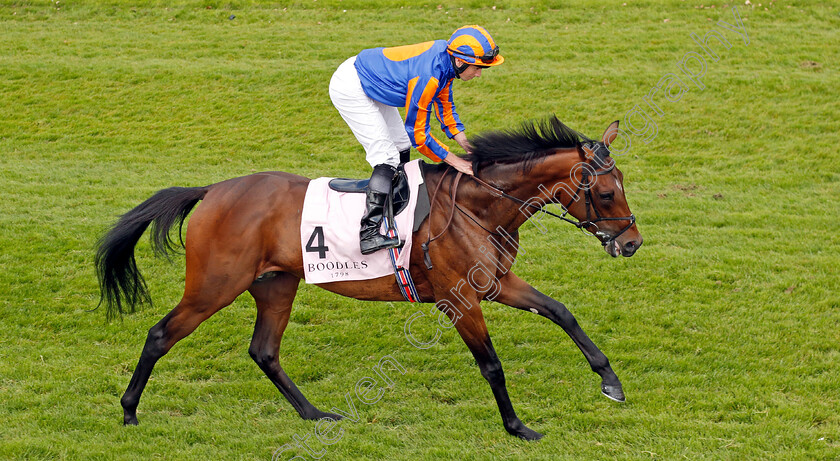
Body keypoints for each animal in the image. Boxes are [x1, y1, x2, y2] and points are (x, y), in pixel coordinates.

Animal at [93, 115, 644, 438]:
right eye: (607, 192)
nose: (633, 243)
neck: (477, 206)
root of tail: (212, 191)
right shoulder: (460, 299)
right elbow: (491, 364)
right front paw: (516, 426)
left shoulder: (493, 284)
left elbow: (562, 312)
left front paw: (611, 382)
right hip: (214, 286)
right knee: (160, 334)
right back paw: (129, 410)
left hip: (275, 284)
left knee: (264, 350)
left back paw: (315, 415)